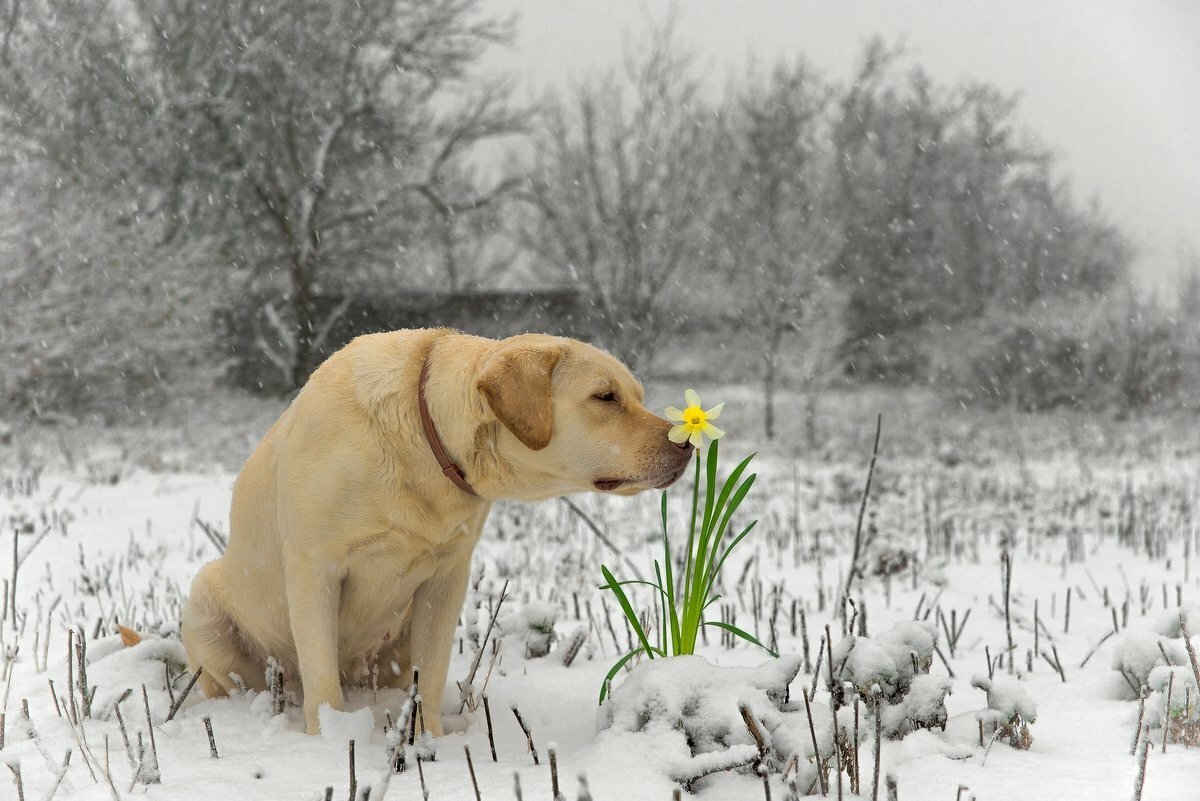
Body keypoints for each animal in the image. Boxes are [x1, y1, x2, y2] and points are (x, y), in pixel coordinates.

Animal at [186, 328, 696, 733]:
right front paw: (328, 741)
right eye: (605, 397)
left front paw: (428, 740)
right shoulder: (315, 568)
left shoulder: (446, 577)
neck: (423, 442)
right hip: (204, 603)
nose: (686, 444)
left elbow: (429, 676)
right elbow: (323, 680)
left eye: (637, 395)